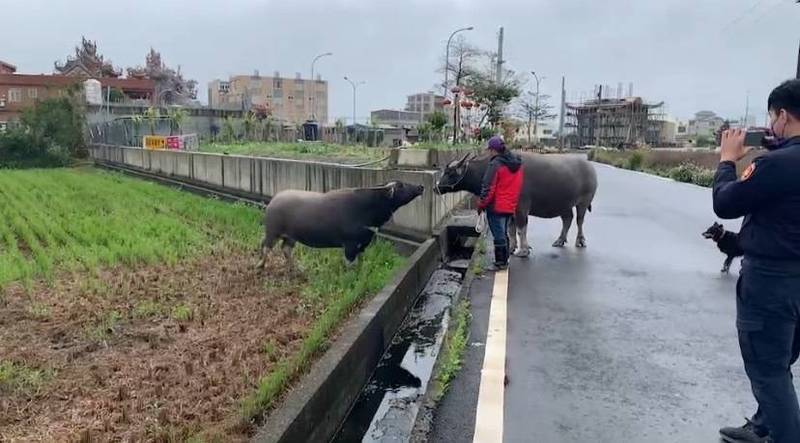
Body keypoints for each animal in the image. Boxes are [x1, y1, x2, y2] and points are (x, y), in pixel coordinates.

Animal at [256, 181, 424, 270]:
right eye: (401, 185)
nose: (420, 187)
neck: (365, 208)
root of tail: (273, 200)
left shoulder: (363, 243)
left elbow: (360, 261)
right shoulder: (350, 245)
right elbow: (350, 263)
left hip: (291, 236)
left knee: (285, 249)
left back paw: (297, 268)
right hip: (272, 232)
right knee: (265, 246)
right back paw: (260, 265)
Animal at [434, 153, 596, 256]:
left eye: (449, 172)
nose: (437, 187)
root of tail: (589, 167)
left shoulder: (521, 208)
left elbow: (520, 229)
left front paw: (523, 250)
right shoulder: (510, 210)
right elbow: (511, 229)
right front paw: (512, 247)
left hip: (584, 201)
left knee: (579, 220)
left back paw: (580, 241)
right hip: (564, 204)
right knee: (567, 219)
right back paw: (560, 240)